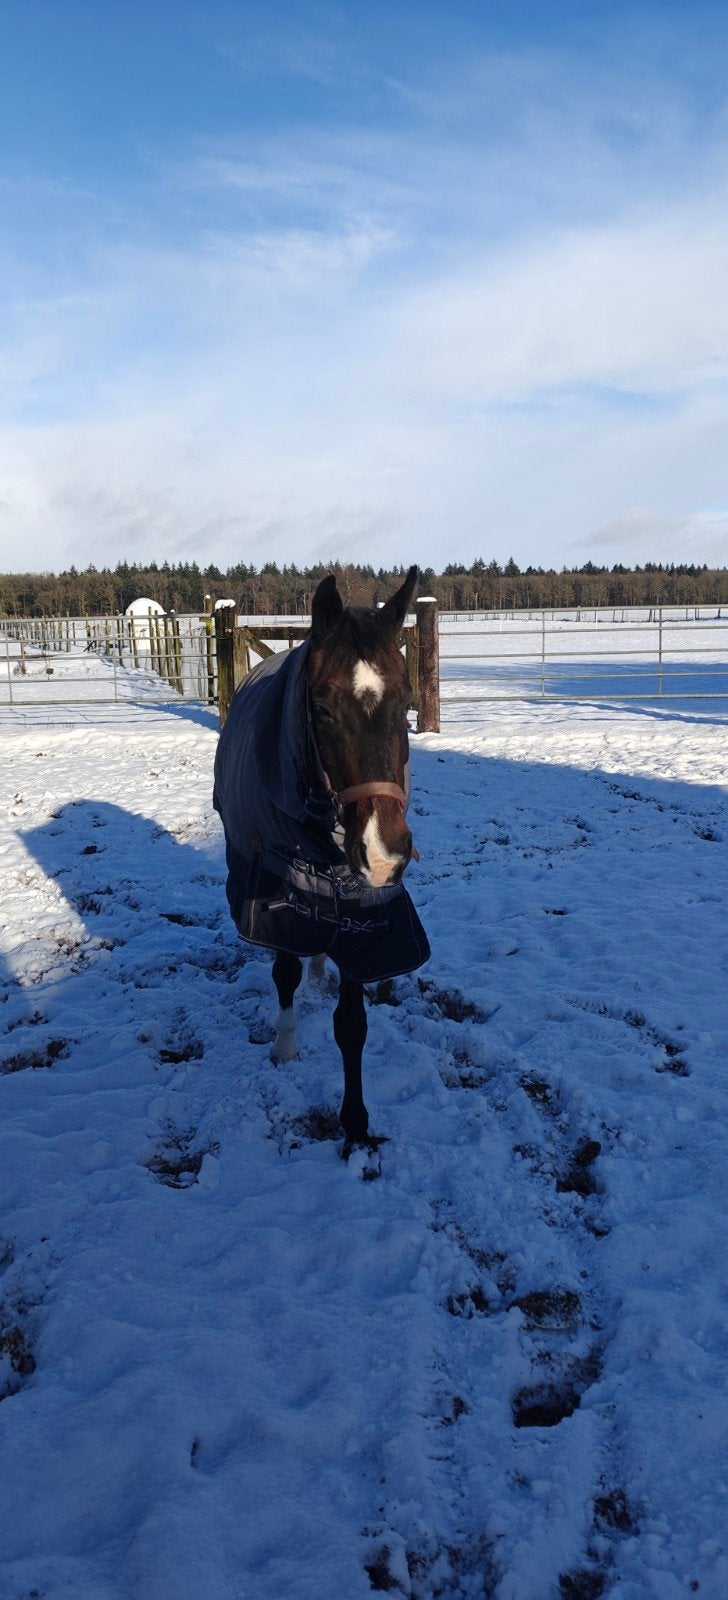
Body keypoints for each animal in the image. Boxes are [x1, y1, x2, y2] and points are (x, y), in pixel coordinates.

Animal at [212, 566, 430, 1152]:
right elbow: (283, 971)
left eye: (407, 702)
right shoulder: (276, 889)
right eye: (324, 710)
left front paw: (355, 1122)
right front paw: (284, 1048)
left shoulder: (365, 912)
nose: (383, 853)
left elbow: (351, 1024)